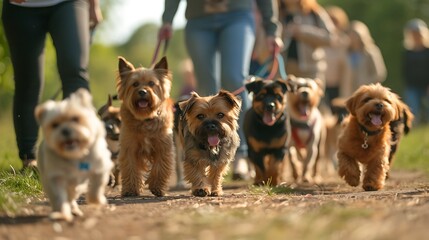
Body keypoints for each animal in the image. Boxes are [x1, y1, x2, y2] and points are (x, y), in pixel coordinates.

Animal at [35, 88, 112, 221]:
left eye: (75, 118)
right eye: (54, 125)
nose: (65, 130)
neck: (75, 155)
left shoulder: (100, 167)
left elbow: (96, 186)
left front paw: (96, 200)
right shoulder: (56, 177)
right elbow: (59, 197)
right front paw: (61, 213)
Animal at [115, 56, 174, 197]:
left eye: (151, 83)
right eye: (135, 84)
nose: (142, 92)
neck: (145, 118)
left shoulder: (163, 147)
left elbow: (160, 168)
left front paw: (157, 188)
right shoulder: (129, 147)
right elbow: (130, 168)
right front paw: (131, 189)